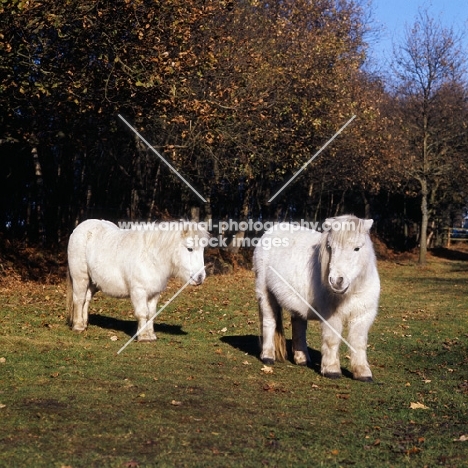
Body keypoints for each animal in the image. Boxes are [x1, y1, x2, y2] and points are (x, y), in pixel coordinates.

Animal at [66, 218, 208, 342]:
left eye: (202, 249)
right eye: (190, 248)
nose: (200, 277)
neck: (151, 257)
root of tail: (80, 227)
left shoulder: (154, 293)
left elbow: (151, 314)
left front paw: (151, 335)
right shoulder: (139, 291)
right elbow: (142, 313)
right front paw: (143, 337)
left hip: (93, 282)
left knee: (86, 299)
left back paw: (84, 324)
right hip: (80, 278)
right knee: (79, 299)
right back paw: (78, 326)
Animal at [252, 215, 380, 380]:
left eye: (357, 248)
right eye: (330, 247)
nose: (336, 281)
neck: (352, 290)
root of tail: (269, 232)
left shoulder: (363, 316)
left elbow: (359, 342)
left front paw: (363, 373)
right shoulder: (331, 316)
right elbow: (331, 340)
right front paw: (331, 370)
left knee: (298, 326)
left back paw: (302, 359)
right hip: (265, 294)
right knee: (269, 322)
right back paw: (268, 356)